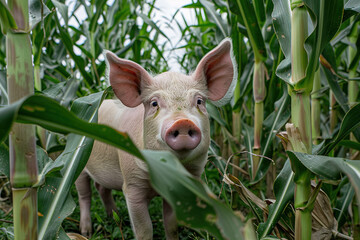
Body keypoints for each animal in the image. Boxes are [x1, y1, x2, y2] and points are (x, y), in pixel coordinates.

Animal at [76, 38, 236, 239]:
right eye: (154, 103)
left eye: (199, 101)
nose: (182, 122)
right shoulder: (132, 185)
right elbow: (144, 229)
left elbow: (171, 224)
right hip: (79, 163)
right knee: (84, 195)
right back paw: (86, 231)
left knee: (102, 189)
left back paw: (115, 216)